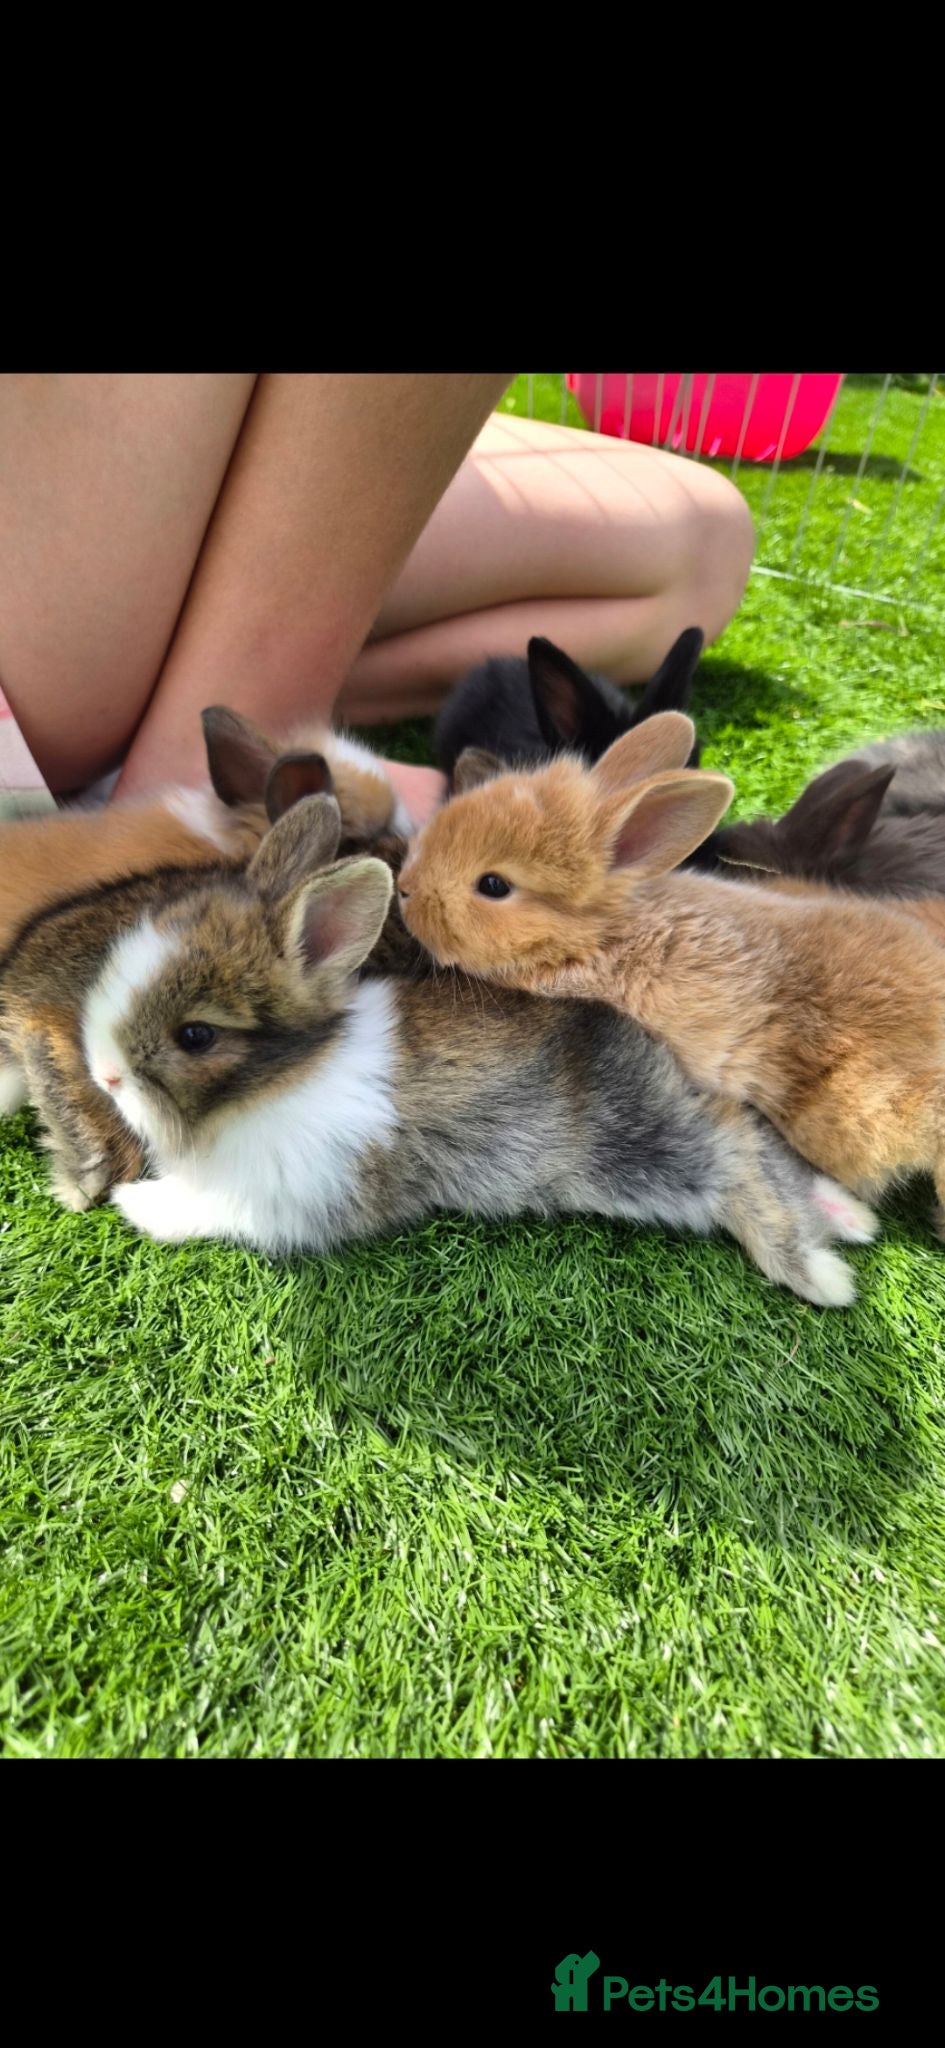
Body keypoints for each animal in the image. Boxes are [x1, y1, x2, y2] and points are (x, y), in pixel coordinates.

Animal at [73, 788, 877, 1307]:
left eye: (196, 1035)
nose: (104, 1074)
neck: (286, 1077)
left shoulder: (293, 1197)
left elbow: (210, 1210)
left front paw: (137, 1205)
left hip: (643, 1155)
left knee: (739, 1163)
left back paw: (821, 1276)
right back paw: (850, 1219)